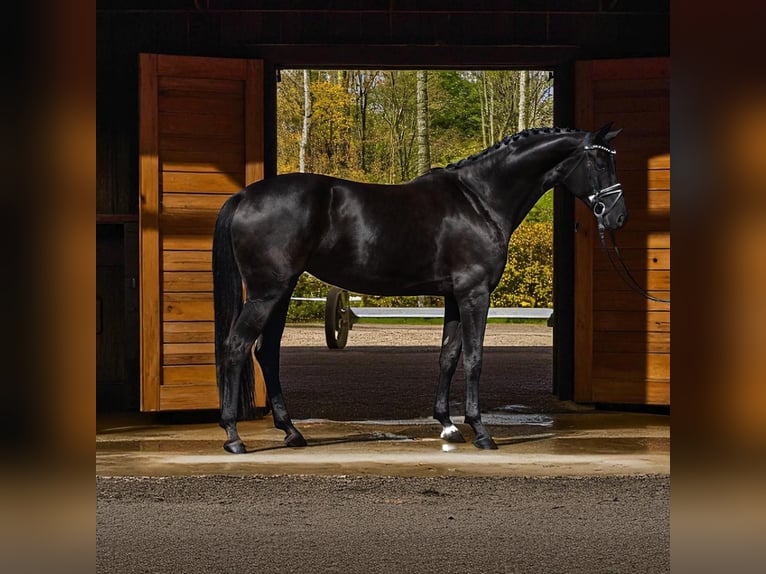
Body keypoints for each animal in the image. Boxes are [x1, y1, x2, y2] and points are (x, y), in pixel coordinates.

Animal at [213, 123, 626, 454]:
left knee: (266, 352)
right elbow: (474, 358)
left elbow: (448, 355)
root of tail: (244, 196)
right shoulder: (475, 293)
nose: (618, 217)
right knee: (236, 347)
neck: (479, 200)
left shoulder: (454, 297)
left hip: (280, 292)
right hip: (267, 292)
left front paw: (448, 425)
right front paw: (481, 431)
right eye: (599, 163)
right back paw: (233, 436)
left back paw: (291, 431)